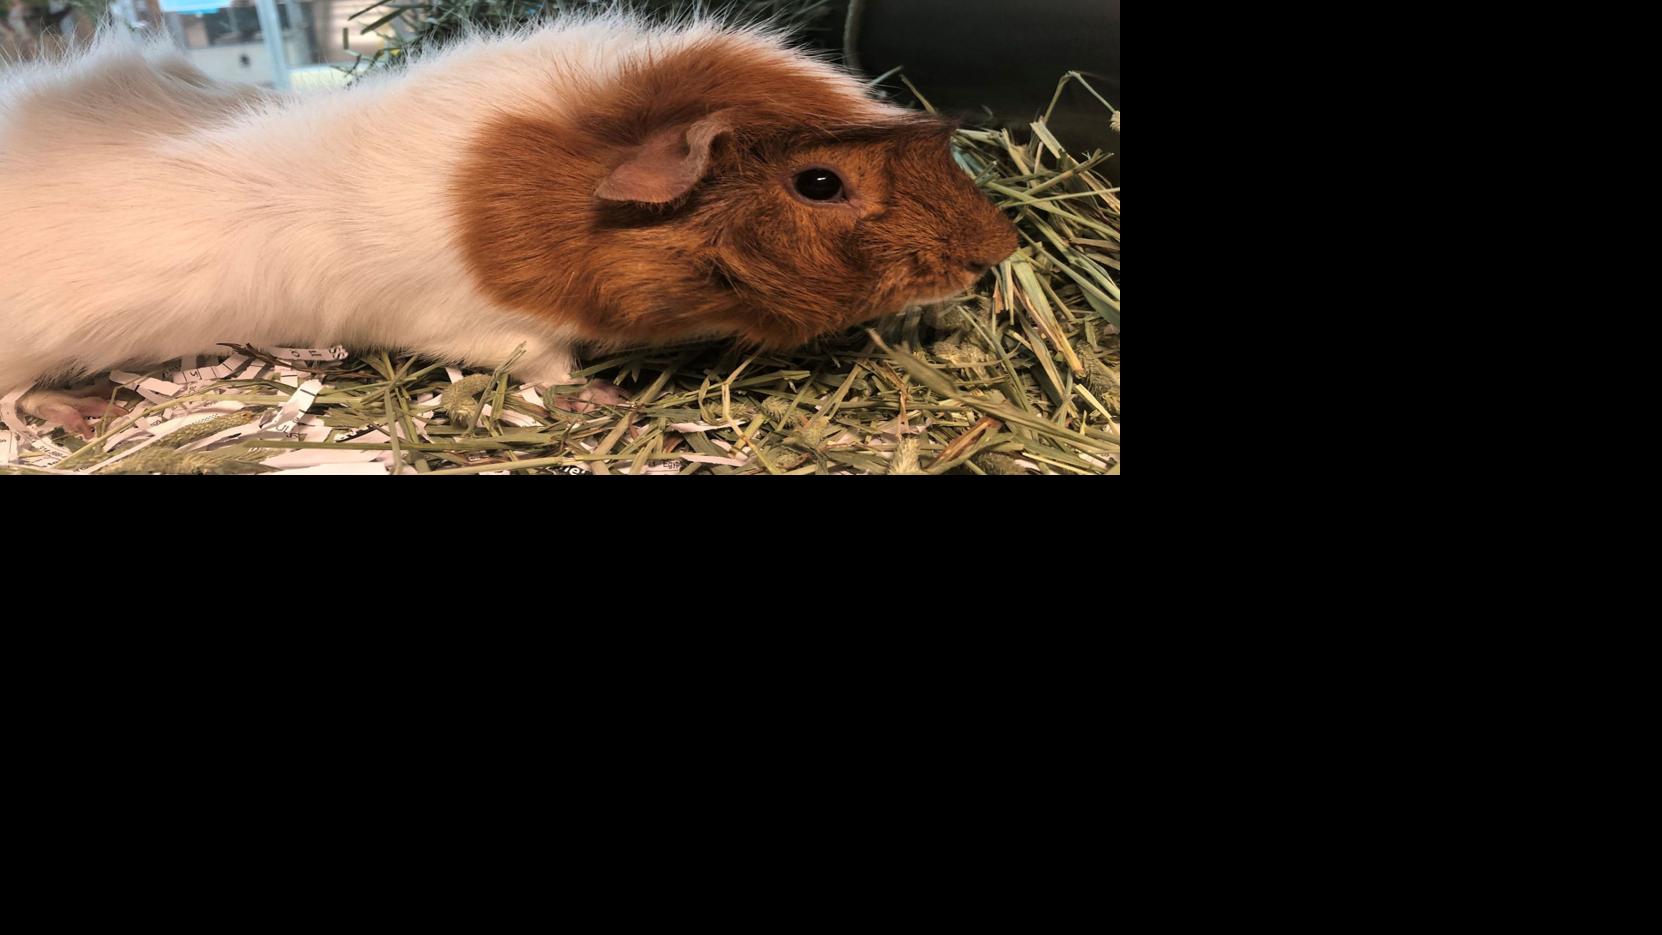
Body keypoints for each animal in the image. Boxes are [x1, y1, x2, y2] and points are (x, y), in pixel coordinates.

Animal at [0, 11, 1019, 438]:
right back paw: (84, 414)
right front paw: (600, 399)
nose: (996, 252)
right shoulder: (473, 324)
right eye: (819, 182)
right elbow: (544, 365)